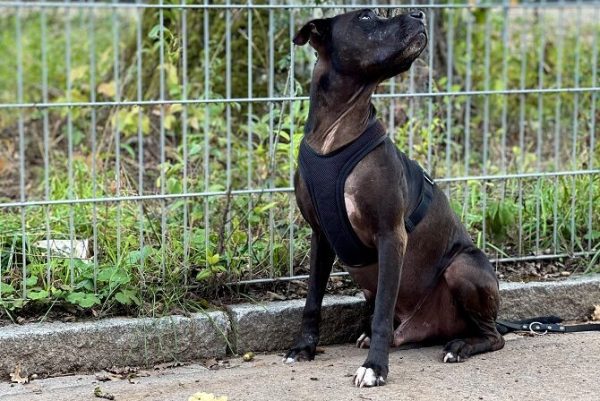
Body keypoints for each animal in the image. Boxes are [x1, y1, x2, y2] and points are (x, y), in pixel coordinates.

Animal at [284, 8, 504, 384]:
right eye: (367, 17)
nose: (419, 13)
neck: (335, 133)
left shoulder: (391, 235)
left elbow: (383, 314)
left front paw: (375, 367)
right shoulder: (320, 236)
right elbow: (312, 299)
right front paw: (304, 348)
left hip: (462, 266)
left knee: (494, 336)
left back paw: (460, 346)